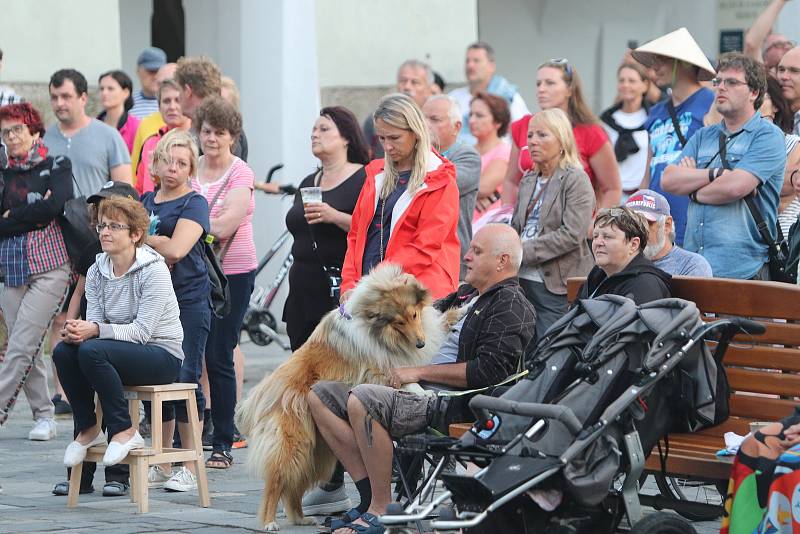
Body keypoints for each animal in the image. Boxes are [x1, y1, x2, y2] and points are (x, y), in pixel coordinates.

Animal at [236, 264, 456, 532]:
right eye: (399, 321)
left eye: (414, 315)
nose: (421, 344)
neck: (376, 327)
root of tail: (262, 393)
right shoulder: (380, 366)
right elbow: (403, 376)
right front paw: (423, 391)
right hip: (295, 445)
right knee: (277, 481)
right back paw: (269, 521)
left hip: (315, 452)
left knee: (294, 486)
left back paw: (300, 517)